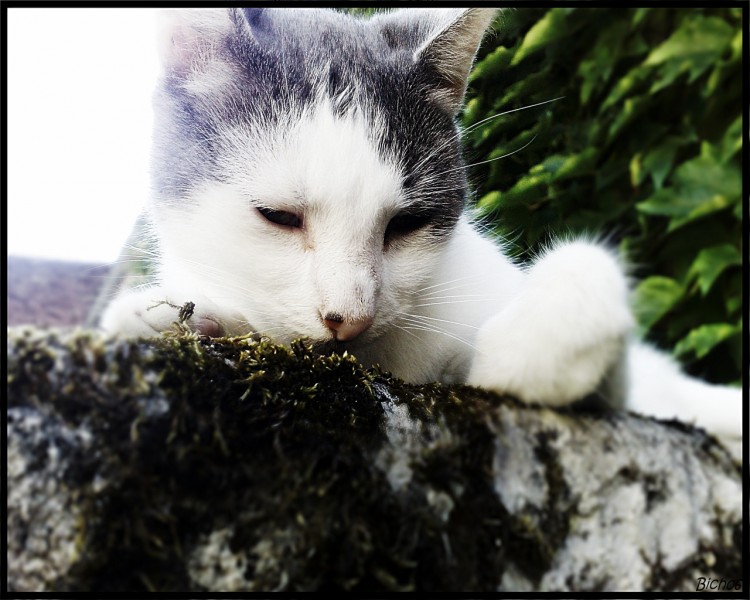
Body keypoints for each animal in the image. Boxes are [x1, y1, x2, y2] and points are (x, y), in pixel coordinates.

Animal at [101, 5, 748, 446]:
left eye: (408, 223)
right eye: (278, 217)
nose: (348, 316)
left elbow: (585, 279)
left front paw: (523, 352)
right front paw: (175, 317)